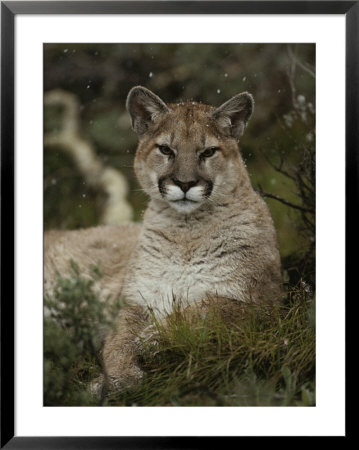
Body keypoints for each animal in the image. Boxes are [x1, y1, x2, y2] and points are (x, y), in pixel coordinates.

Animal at [44, 86, 282, 392]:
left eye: (208, 151)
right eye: (166, 149)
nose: (184, 183)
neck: (185, 233)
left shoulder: (265, 303)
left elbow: (208, 309)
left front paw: (153, 338)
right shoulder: (133, 300)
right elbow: (118, 341)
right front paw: (117, 377)